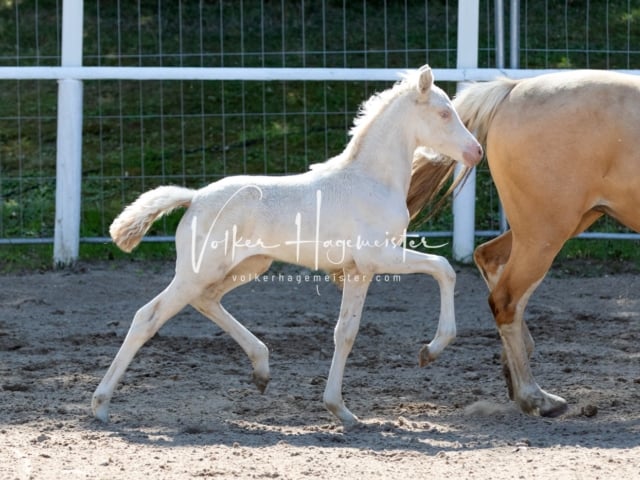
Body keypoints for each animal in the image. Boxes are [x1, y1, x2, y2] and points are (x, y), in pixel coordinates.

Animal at [90, 64, 480, 428]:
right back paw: (100, 405)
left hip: (246, 266)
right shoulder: (377, 257)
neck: (371, 181)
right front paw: (432, 350)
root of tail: (195, 197)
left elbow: (346, 333)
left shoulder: (358, 270)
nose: (475, 151)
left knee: (206, 300)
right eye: (444, 113)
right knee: (148, 316)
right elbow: (444, 269)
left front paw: (341, 410)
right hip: (199, 271)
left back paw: (261, 369)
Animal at [410, 69, 640, 418]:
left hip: (549, 228)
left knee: (489, 259)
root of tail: (512, 89)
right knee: (506, 300)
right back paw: (536, 398)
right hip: (545, 233)